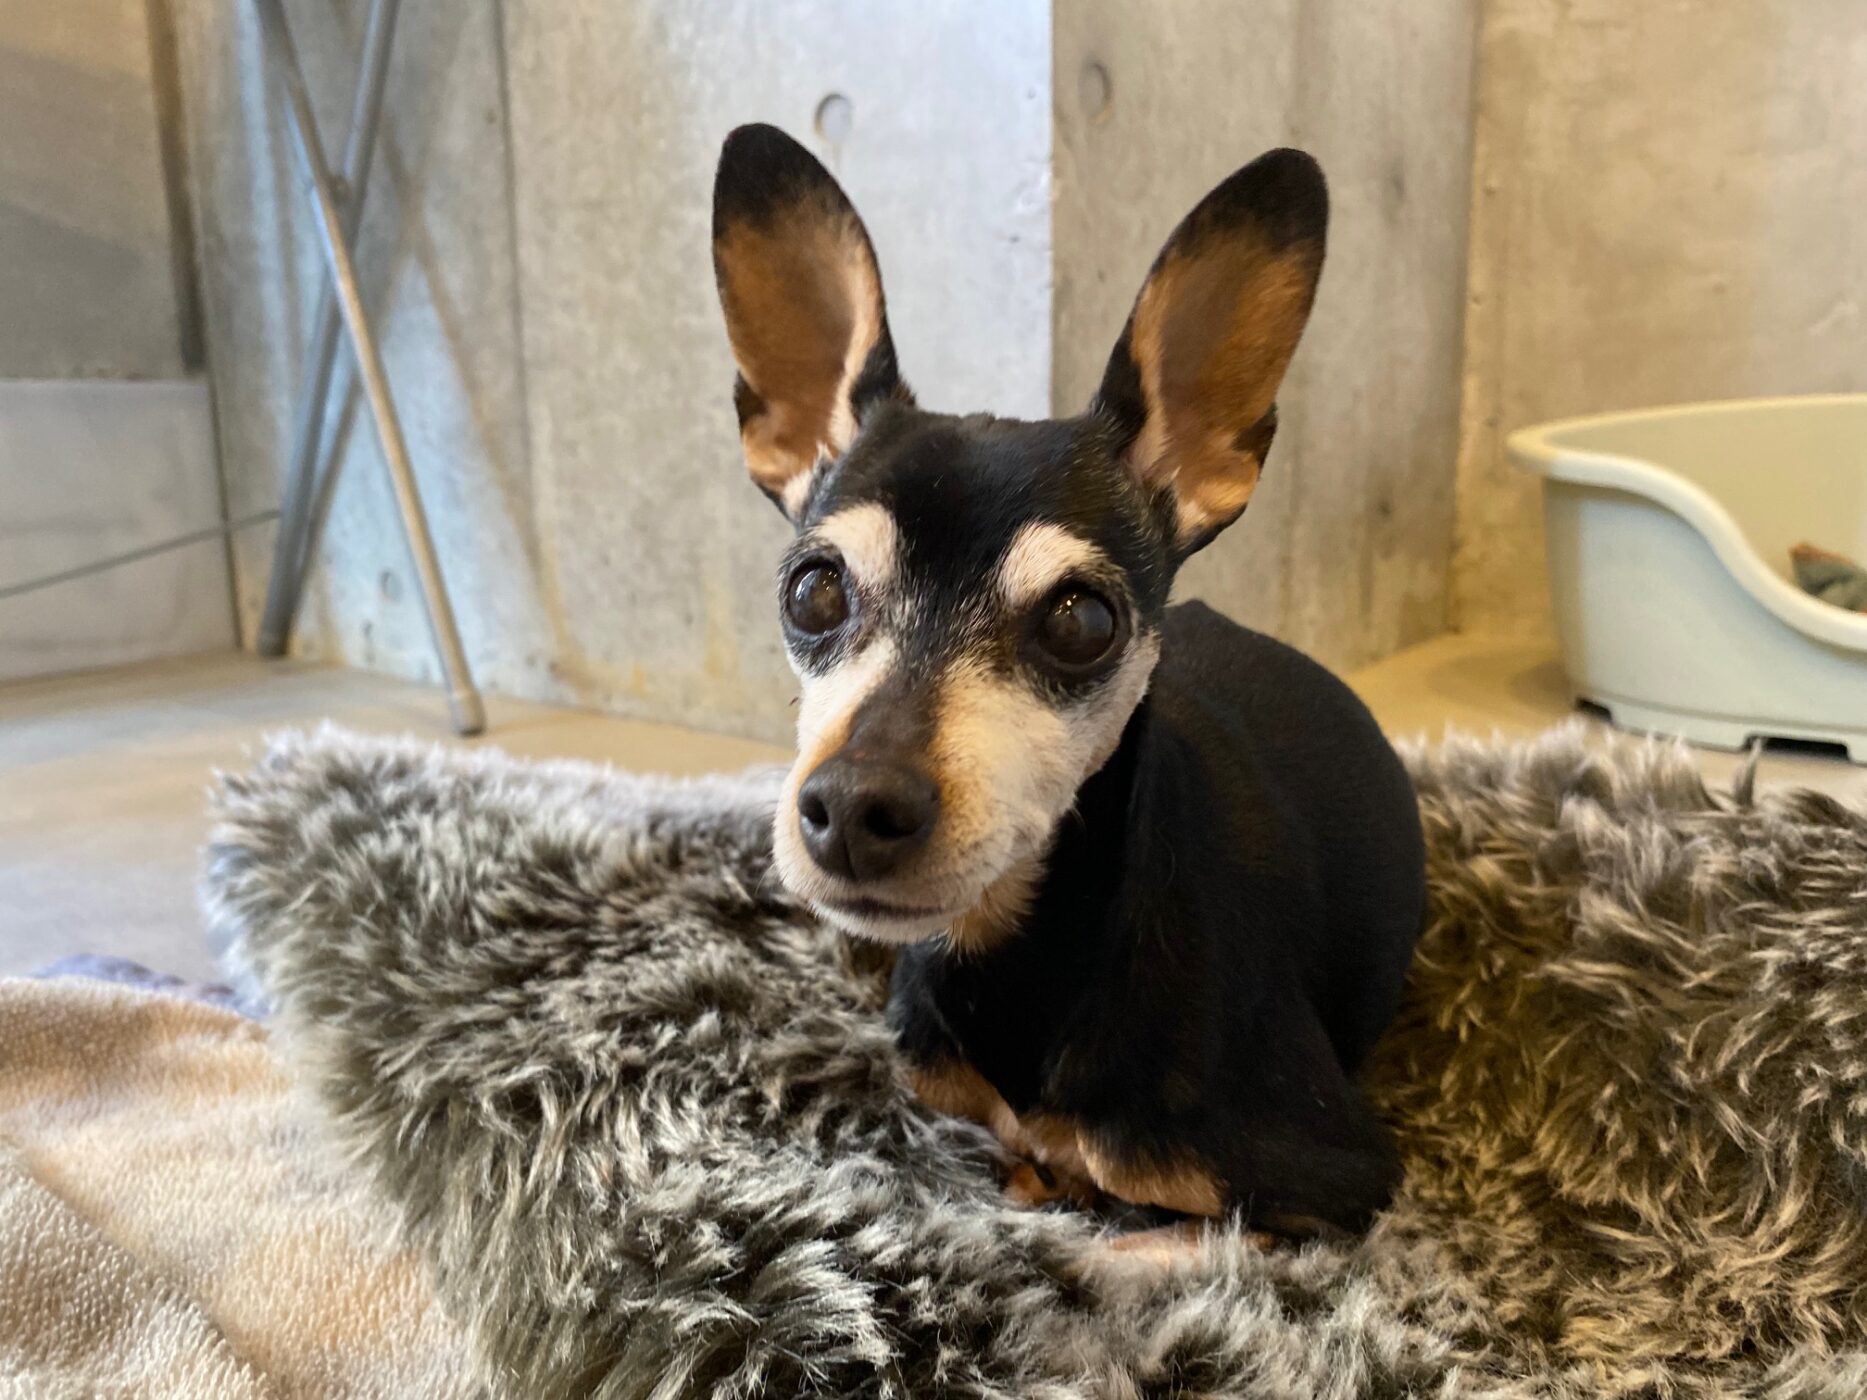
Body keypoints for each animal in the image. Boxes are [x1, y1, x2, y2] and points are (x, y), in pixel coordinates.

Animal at [710, 124, 1425, 1240]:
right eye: (813, 592)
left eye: (1081, 621)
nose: (855, 803)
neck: (1024, 957)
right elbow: (1013, 1149)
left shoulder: (1331, 1187)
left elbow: (1147, 1214)